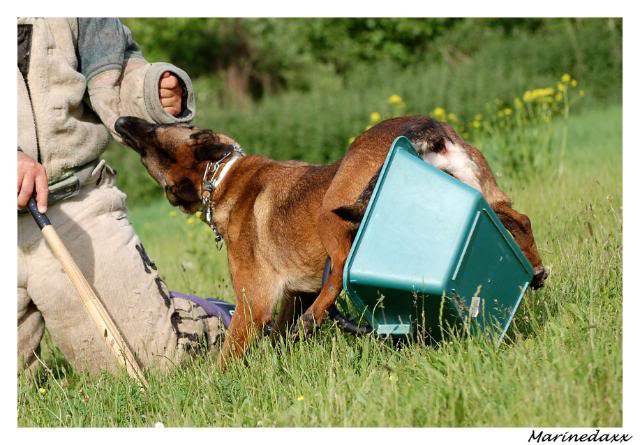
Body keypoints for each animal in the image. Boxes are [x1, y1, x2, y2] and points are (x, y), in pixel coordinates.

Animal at [114, 115, 544, 368]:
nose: (120, 119)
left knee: (340, 268)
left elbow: (230, 354)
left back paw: (318, 315)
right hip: (484, 192)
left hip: (330, 210)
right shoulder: (291, 295)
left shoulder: (254, 303)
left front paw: (215, 385)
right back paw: (536, 269)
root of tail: (421, 126)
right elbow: (277, 338)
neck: (220, 176)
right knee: (520, 219)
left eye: (152, 132)